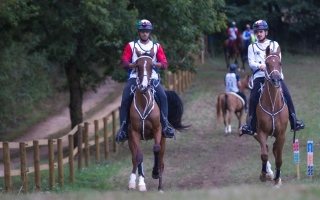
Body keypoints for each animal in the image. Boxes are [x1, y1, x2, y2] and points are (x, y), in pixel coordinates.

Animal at [127, 47, 189, 192]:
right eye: (137, 66)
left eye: (152, 66)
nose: (144, 86)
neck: (144, 103)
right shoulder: (134, 132)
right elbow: (138, 156)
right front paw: (140, 183)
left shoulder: (158, 130)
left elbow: (156, 150)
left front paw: (155, 173)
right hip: (130, 138)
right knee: (135, 158)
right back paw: (135, 182)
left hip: (163, 137)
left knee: (160, 157)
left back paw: (159, 183)